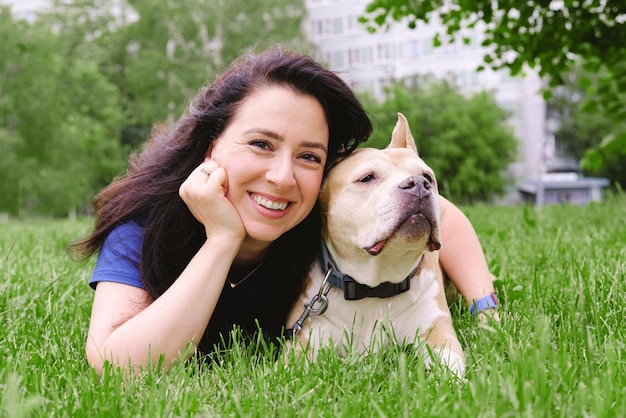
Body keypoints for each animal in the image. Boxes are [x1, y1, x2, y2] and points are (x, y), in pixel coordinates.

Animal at [288, 112, 464, 378]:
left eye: (427, 177)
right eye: (367, 178)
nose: (418, 184)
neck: (373, 285)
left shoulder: (436, 328)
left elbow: (450, 365)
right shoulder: (305, 339)